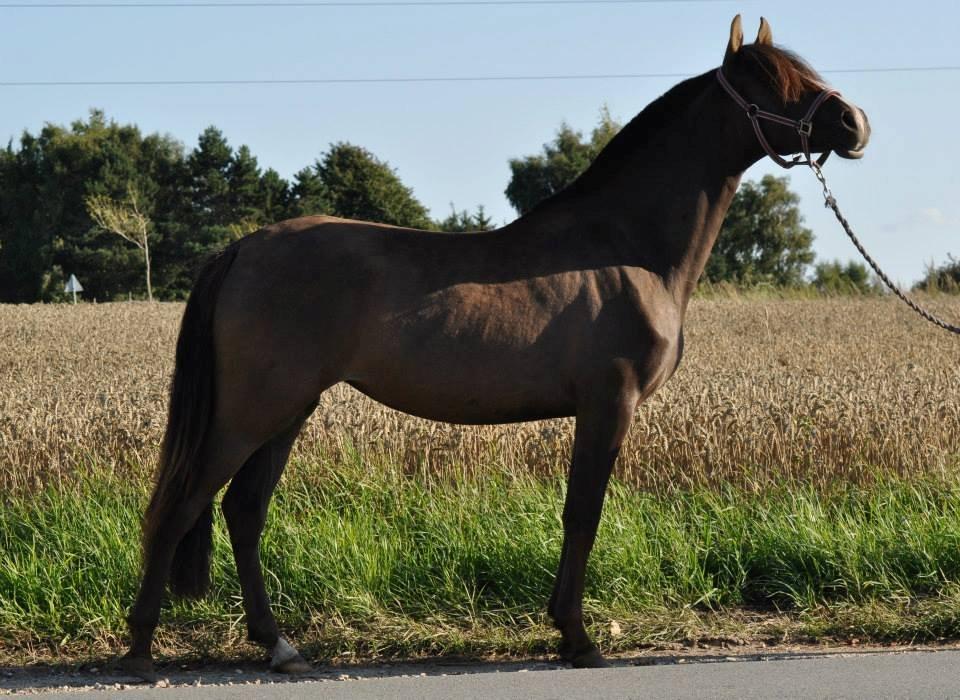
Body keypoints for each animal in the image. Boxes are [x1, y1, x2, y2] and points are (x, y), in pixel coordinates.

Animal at [120, 15, 872, 680]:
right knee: (181, 503)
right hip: (252, 411)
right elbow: (583, 512)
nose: (853, 123)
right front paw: (577, 637)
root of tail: (244, 247)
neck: (627, 248)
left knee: (244, 512)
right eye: (769, 81)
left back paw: (279, 646)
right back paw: (141, 649)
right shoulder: (609, 403)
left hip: (288, 410)